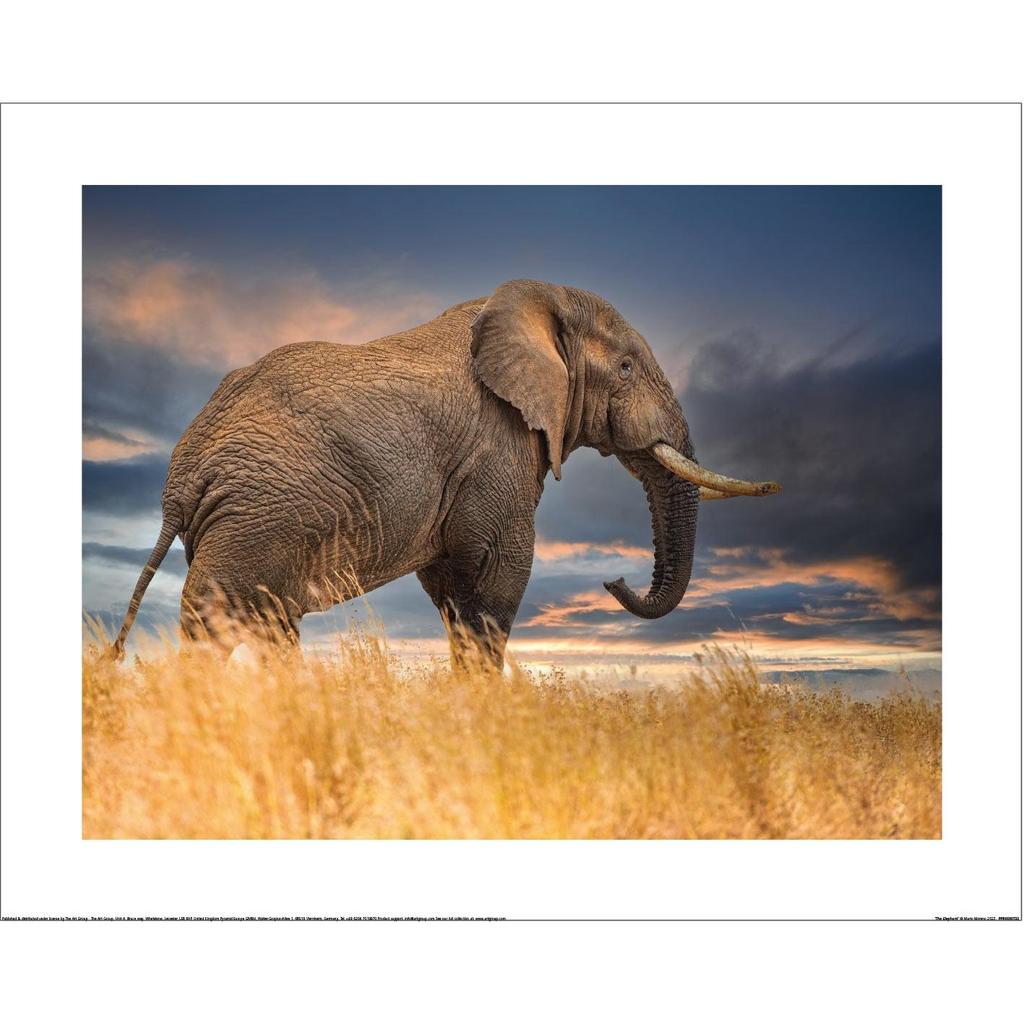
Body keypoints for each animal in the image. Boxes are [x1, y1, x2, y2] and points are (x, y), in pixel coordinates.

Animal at [111, 279, 780, 666]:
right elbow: (495, 572)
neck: (535, 305)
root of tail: (182, 476)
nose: (615, 581)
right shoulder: (498, 443)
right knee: (215, 618)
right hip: (260, 509)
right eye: (625, 368)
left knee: (268, 623)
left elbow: (452, 586)